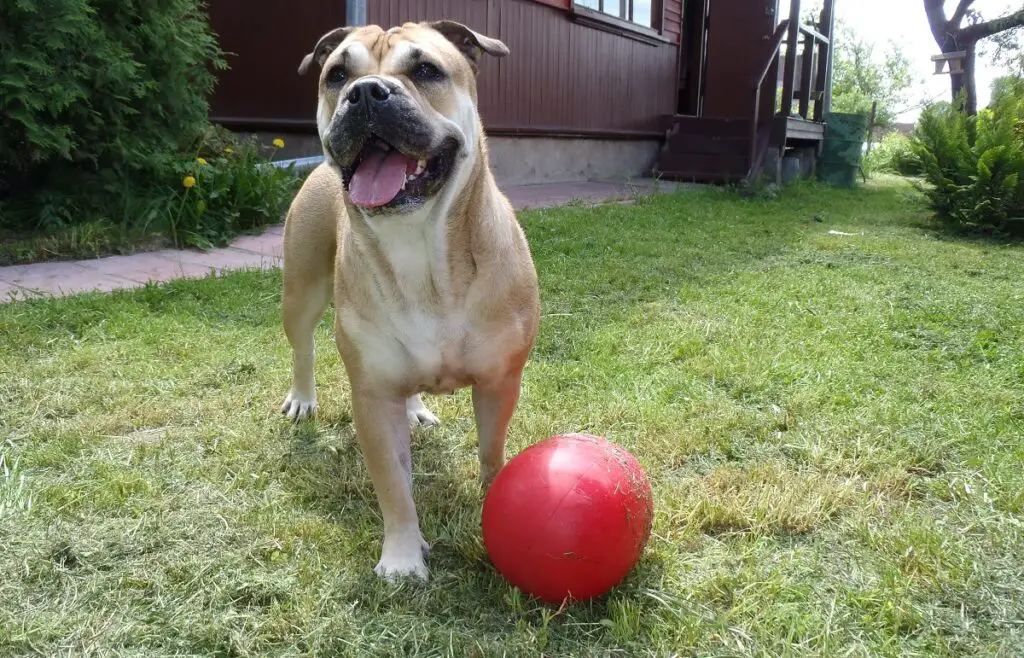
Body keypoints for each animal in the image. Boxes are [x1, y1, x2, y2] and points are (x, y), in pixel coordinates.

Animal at [276, 19, 540, 581]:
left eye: (426, 70)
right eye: (337, 75)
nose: (364, 92)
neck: (419, 245)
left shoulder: (499, 381)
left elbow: (492, 451)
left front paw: (495, 502)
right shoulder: (373, 398)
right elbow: (393, 484)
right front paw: (401, 556)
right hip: (300, 289)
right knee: (302, 346)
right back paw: (303, 398)